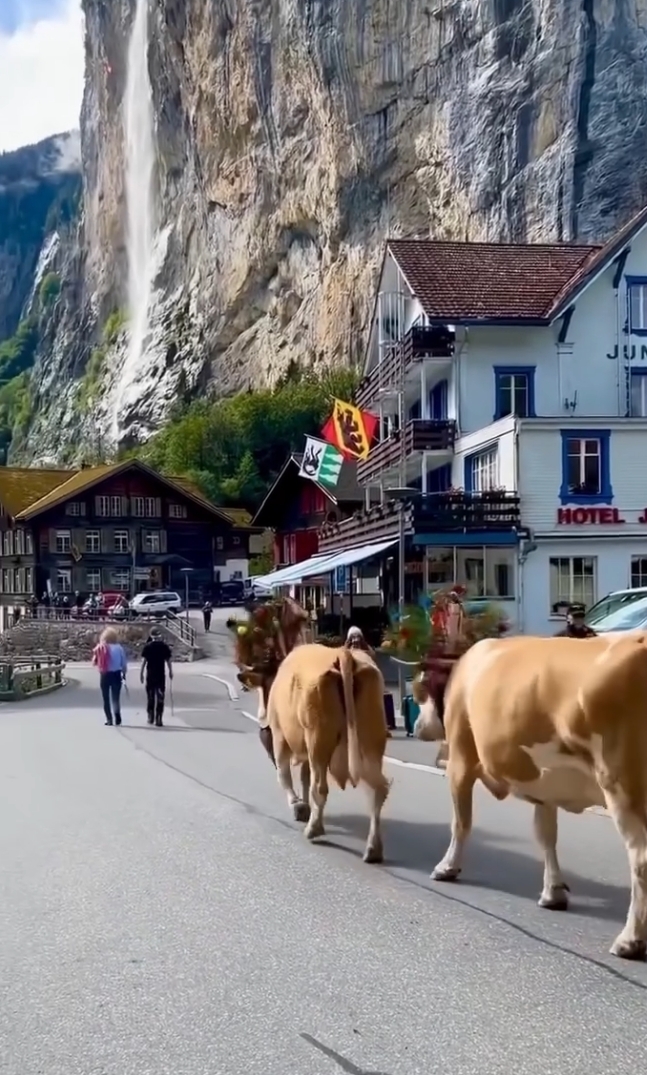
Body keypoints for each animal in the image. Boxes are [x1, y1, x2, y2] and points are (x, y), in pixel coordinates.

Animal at [237, 643, 391, 863]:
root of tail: (343, 653)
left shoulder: (279, 737)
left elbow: (284, 775)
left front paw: (298, 806)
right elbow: (304, 777)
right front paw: (304, 805)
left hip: (318, 736)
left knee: (319, 786)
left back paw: (314, 829)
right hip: (372, 736)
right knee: (377, 789)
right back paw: (373, 849)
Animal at [414, 632, 647, 961]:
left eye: (420, 691)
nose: (417, 727)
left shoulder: (460, 758)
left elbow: (461, 822)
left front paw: (447, 867)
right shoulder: (544, 785)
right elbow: (546, 835)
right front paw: (553, 892)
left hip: (621, 783)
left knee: (641, 858)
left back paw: (630, 940)